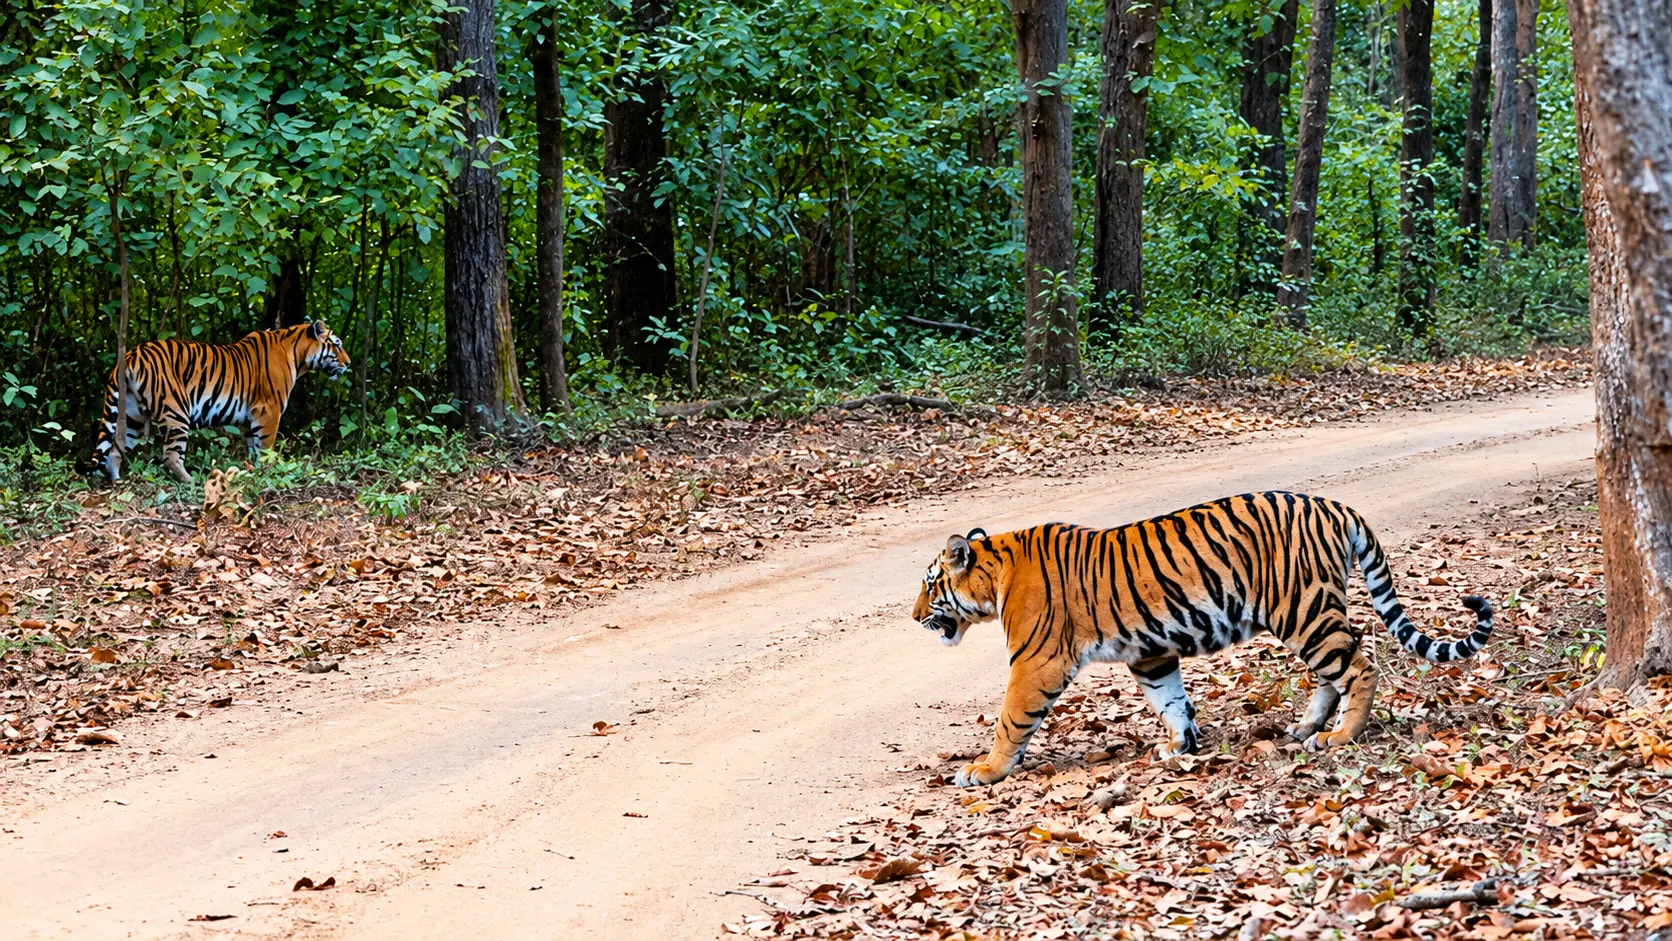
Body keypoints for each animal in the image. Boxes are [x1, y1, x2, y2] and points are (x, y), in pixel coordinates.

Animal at [84, 321, 351, 483]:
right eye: (337, 345)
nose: (348, 363)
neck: (298, 355)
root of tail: (131, 354)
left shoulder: (251, 418)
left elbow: (253, 448)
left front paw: (251, 471)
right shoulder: (269, 410)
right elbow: (266, 447)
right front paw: (269, 471)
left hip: (132, 416)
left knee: (115, 449)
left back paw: (117, 481)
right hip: (176, 411)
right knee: (170, 454)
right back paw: (191, 480)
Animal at [913, 491, 1493, 787]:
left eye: (930, 585)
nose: (915, 617)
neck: (996, 574)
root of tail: (1338, 506)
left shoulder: (1037, 661)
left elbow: (1011, 719)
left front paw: (986, 770)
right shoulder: (1151, 654)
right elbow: (1170, 700)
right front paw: (1179, 746)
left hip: (1302, 609)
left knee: (1360, 665)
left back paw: (1339, 737)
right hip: (1312, 614)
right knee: (1336, 670)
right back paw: (1306, 727)